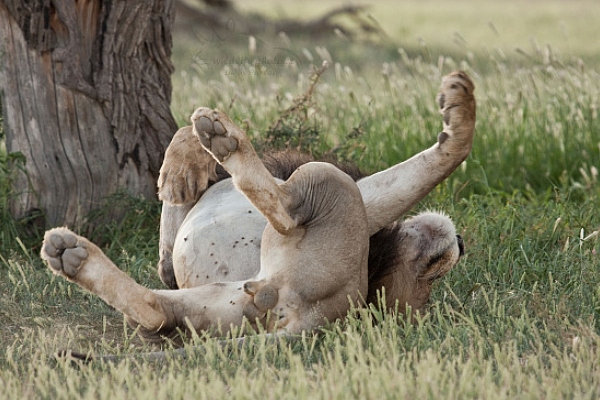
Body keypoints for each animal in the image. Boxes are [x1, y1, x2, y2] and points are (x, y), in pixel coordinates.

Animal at [39, 69, 476, 344]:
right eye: (428, 285)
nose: (462, 245)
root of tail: (318, 318)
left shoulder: (365, 197)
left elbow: (438, 160)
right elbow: (181, 144)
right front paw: (179, 176)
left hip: (326, 182)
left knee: (285, 207)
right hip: (223, 303)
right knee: (156, 309)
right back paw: (72, 255)